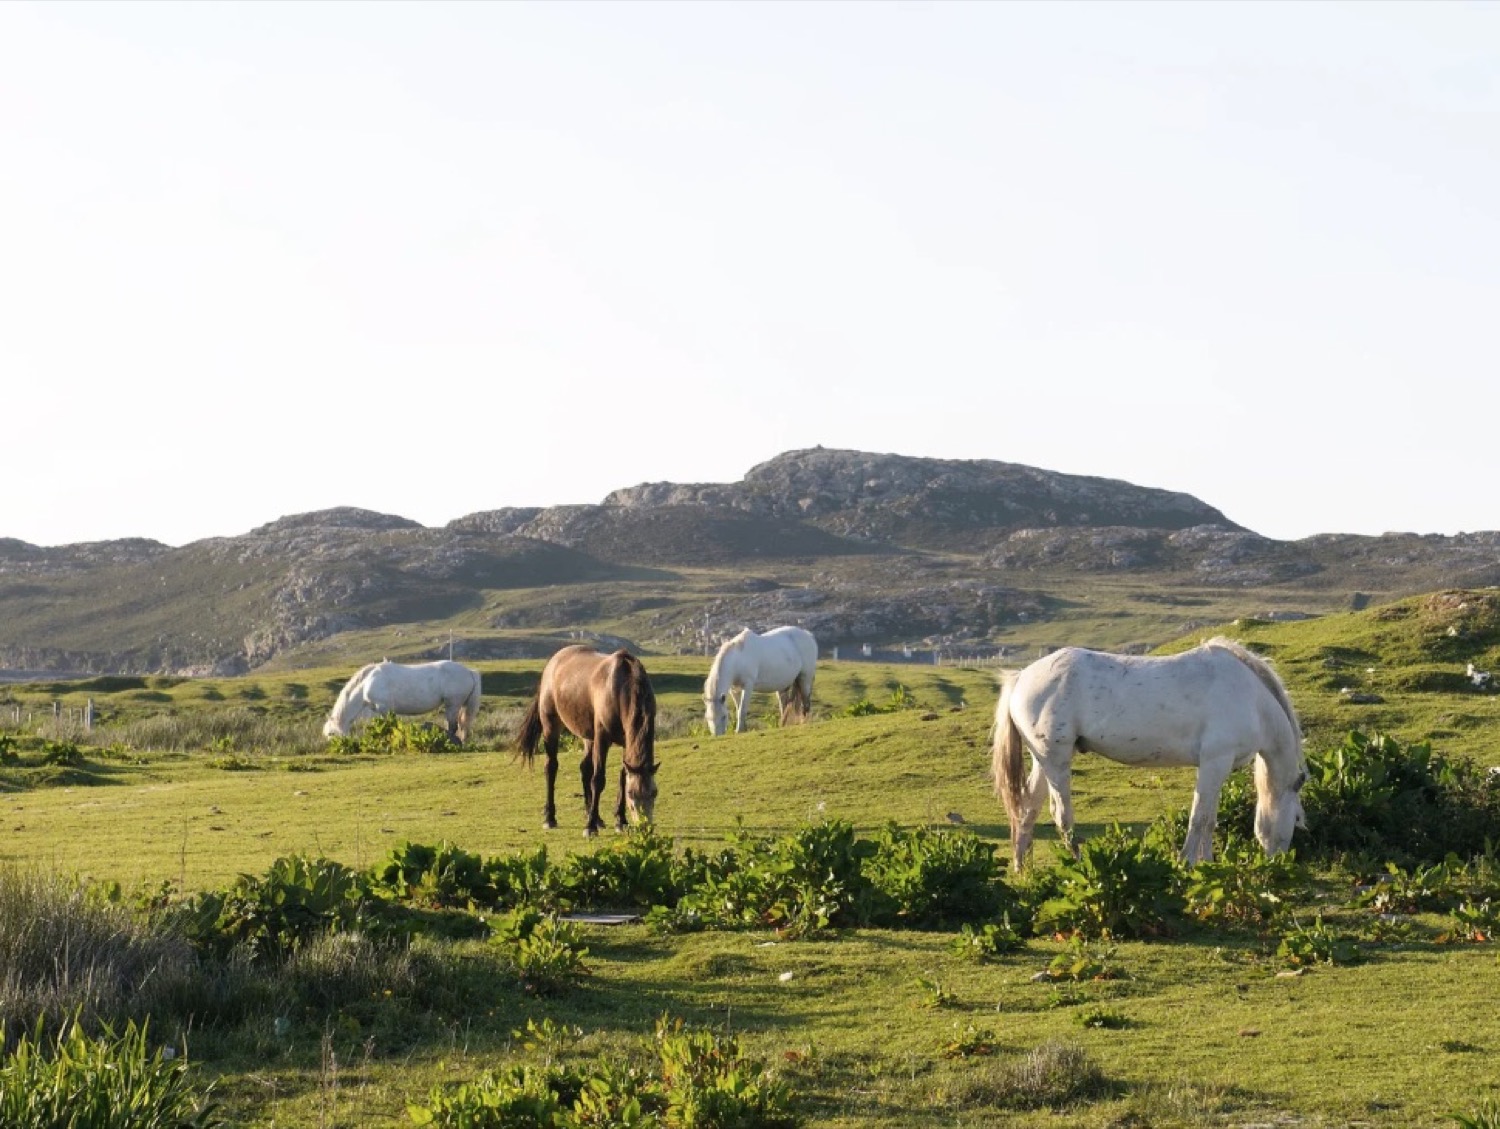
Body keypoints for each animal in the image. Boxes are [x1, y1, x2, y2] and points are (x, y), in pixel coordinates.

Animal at [322, 660, 483, 742]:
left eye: (331, 734)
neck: (367, 683)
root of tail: (469, 671)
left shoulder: (383, 708)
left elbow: (387, 727)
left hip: (453, 704)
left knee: (453, 727)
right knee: (461, 726)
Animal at [515, 645, 659, 837]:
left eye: (654, 793)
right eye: (631, 794)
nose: (645, 828)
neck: (621, 687)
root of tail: (553, 661)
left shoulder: (625, 743)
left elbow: (622, 777)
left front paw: (620, 821)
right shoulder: (602, 739)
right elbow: (598, 780)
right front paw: (590, 827)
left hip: (588, 737)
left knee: (584, 768)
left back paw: (594, 816)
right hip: (551, 727)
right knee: (551, 767)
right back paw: (550, 817)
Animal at [991, 637, 1307, 868]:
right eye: (1297, 820)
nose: (1278, 862)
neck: (1251, 698)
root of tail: (1020, 677)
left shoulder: (1218, 768)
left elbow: (1209, 818)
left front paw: (1206, 863)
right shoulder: (1214, 763)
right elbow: (1200, 817)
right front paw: (1187, 862)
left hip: (1042, 761)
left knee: (1026, 809)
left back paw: (1023, 869)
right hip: (1056, 760)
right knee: (1061, 815)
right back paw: (1081, 865)